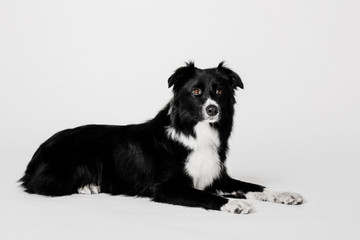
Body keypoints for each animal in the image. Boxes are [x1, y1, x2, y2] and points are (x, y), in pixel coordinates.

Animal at [19, 62, 302, 214]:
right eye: (196, 91)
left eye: (220, 91)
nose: (213, 109)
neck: (196, 134)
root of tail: (38, 151)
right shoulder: (166, 188)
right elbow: (205, 196)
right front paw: (232, 204)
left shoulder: (217, 178)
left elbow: (255, 187)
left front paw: (284, 194)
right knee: (39, 184)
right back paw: (86, 186)